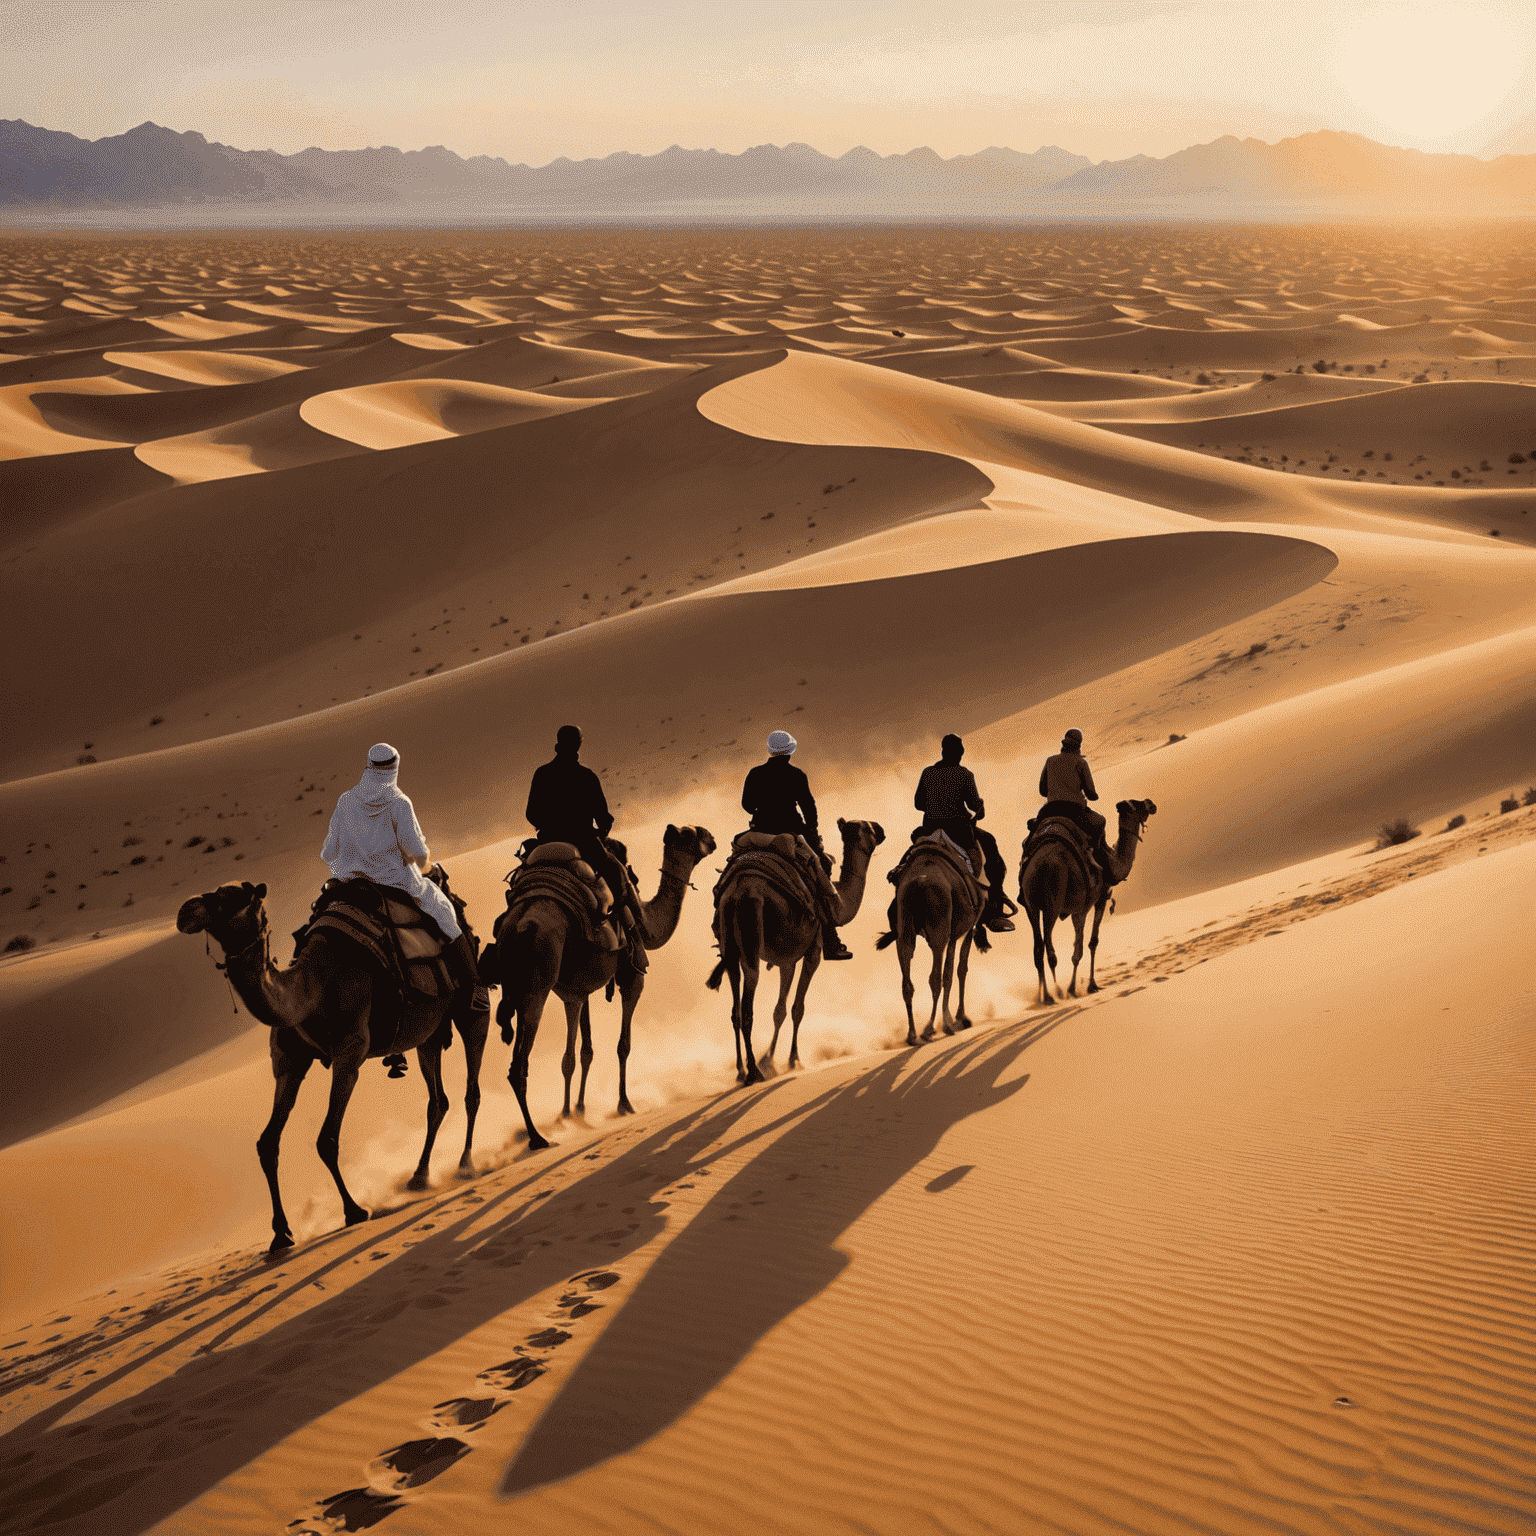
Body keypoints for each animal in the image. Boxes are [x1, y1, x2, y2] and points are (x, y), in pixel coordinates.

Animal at [175, 884, 488, 1253]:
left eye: (231, 896)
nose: (185, 911)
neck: (313, 988)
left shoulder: (349, 1054)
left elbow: (327, 1139)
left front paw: (353, 1210)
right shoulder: (289, 1064)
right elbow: (267, 1144)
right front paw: (280, 1234)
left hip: (469, 1011)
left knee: (472, 1088)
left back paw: (466, 1164)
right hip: (427, 1033)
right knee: (438, 1101)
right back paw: (419, 1177)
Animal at [503, 829, 718, 1155]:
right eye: (691, 835)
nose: (712, 838)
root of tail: (521, 923)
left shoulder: (576, 992)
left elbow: (578, 1054)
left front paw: (573, 1113)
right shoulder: (633, 976)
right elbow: (622, 1044)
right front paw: (624, 1104)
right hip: (538, 986)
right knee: (519, 1065)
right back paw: (537, 1138)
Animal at [703, 823, 884, 1087]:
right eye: (866, 827)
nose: (881, 830)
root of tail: (737, 892)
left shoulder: (786, 960)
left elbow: (779, 1010)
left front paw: (770, 1060)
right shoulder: (813, 952)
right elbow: (798, 1008)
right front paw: (792, 1060)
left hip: (729, 947)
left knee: (735, 1006)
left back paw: (741, 1071)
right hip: (751, 939)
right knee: (748, 1003)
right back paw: (753, 1072)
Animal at [878, 841, 995, 1044]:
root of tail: (919, 883)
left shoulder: (954, 934)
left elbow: (952, 972)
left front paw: (954, 1020)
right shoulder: (962, 931)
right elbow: (956, 972)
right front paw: (958, 1019)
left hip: (905, 929)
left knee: (907, 982)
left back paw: (912, 1035)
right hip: (938, 929)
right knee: (935, 978)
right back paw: (930, 1029)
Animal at [1019, 804, 1155, 1007]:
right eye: (1137, 804)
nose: (1151, 804)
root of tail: (1038, 865)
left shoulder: (1077, 908)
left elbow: (1079, 946)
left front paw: (1077, 987)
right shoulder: (1091, 902)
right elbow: (1087, 944)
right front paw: (1083, 987)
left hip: (1030, 904)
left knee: (1038, 948)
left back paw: (1043, 997)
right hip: (1053, 900)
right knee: (1049, 948)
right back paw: (1056, 992)